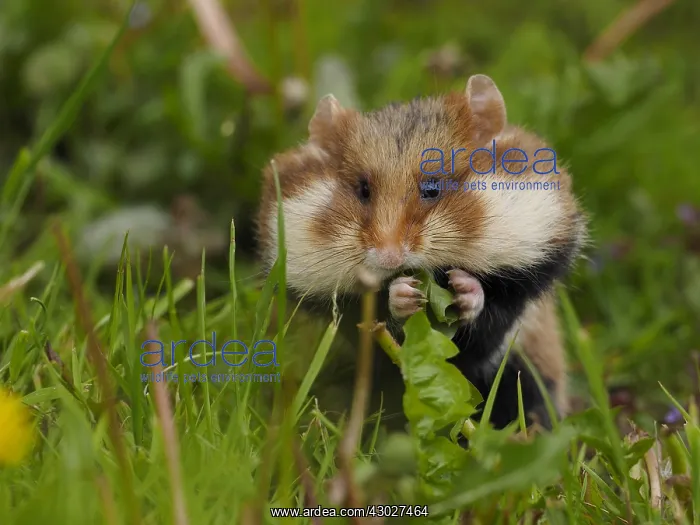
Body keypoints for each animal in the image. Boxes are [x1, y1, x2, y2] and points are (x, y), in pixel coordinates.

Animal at [257, 74, 587, 431]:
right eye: (362, 189)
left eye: (433, 188)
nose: (389, 257)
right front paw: (404, 293)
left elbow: (486, 323)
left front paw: (463, 288)